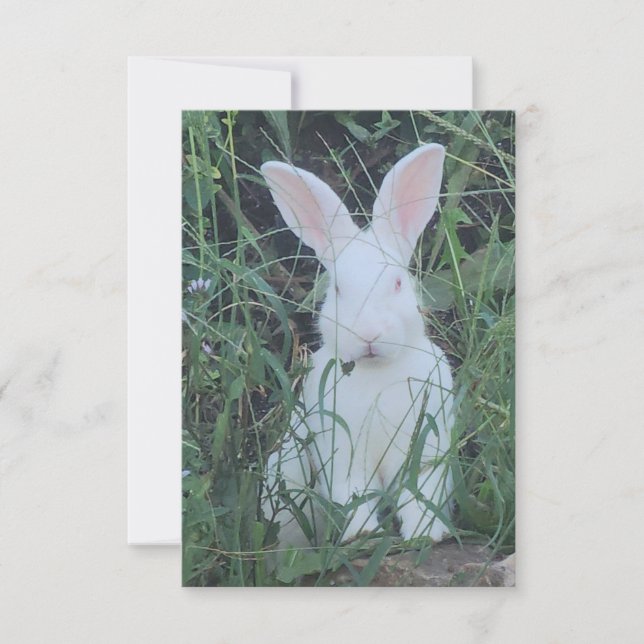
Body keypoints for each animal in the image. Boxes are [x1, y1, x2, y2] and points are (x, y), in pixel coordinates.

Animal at [260, 144, 454, 550]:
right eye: (336, 288)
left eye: (397, 282)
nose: (368, 334)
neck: (377, 371)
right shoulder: (342, 454)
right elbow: (354, 496)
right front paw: (363, 536)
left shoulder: (427, 446)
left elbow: (419, 494)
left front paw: (425, 535)